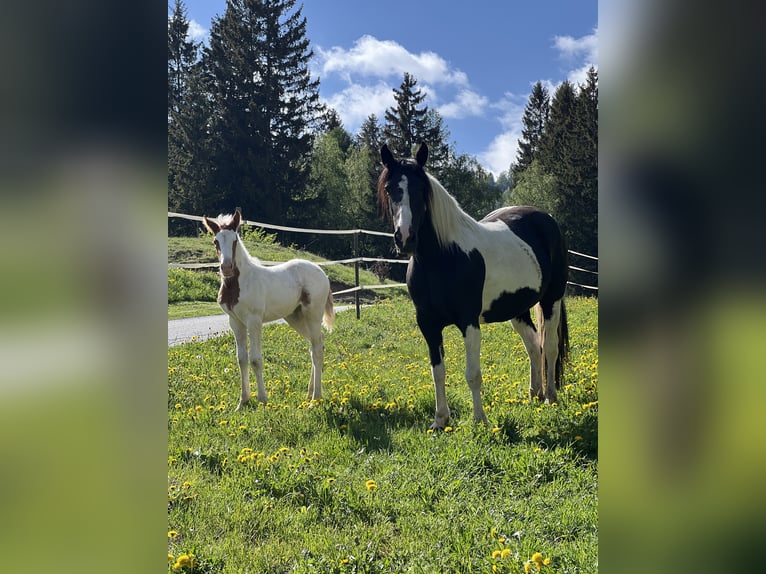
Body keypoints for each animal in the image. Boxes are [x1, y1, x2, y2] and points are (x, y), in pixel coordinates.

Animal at [202, 209, 335, 410]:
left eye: (235, 240)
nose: (226, 268)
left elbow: (255, 359)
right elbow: (241, 359)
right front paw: (243, 402)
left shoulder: (254, 321)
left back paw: (315, 399)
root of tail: (321, 272)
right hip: (295, 317)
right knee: (315, 346)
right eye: (216, 241)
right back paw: (309, 393)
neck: (239, 283)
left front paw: (262, 400)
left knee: (318, 349)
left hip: (313, 314)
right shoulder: (235, 322)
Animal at [378, 143, 569, 429]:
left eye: (421, 190)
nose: (406, 238)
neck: (443, 258)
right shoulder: (428, 324)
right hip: (517, 310)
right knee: (534, 345)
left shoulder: (469, 322)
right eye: (390, 189)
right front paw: (440, 420)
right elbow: (438, 372)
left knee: (551, 346)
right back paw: (534, 394)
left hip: (551, 300)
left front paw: (480, 420)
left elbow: (473, 374)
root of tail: (547, 219)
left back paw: (550, 397)